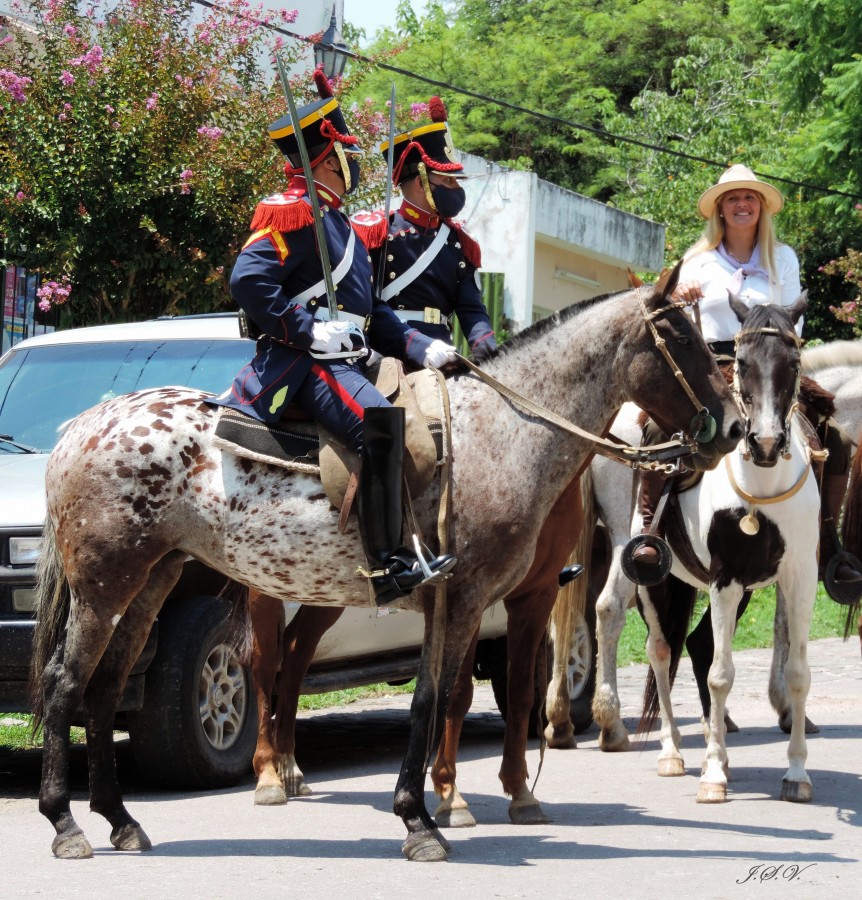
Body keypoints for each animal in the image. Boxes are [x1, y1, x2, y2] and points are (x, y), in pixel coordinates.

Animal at [28, 268, 744, 864]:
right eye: (681, 337)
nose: (736, 427)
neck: (502, 432)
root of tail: (84, 423)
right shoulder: (464, 598)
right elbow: (435, 699)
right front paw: (421, 818)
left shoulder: (475, 602)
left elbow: (448, 697)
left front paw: (437, 806)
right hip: (107, 585)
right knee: (66, 682)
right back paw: (66, 822)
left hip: (150, 581)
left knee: (104, 686)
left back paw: (121, 820)